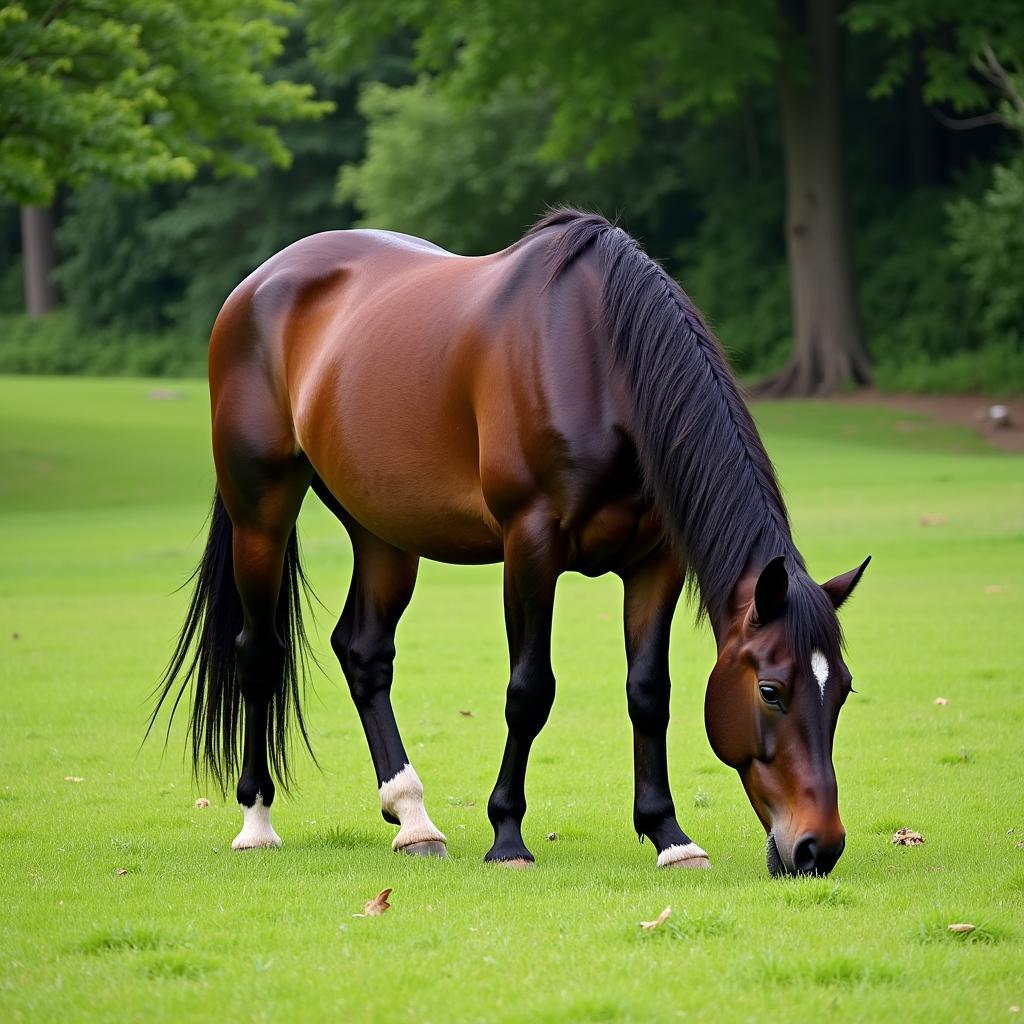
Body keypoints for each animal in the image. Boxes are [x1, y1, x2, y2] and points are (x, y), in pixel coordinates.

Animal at [151, 209, 868, 880]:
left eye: (842, 690)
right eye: (771, 691)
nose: (818, 848)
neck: (597, 361)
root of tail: (257, 284)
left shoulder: (655, 563)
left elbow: (648, 692)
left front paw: (669, 834)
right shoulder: (530, 547)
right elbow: (529, 691)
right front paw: (508, 837)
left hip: (383, 531)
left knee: (364, 654)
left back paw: (413, 820)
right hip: (261, 515)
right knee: (259, 653)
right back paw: (257, 821)